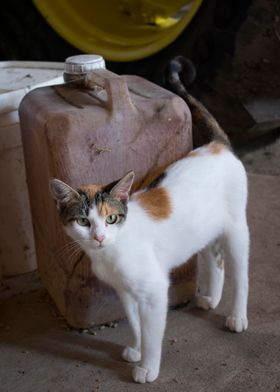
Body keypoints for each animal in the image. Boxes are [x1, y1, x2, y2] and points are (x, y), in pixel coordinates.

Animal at [49, 56, 248, 384]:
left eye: (111, 218)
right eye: (83, 222)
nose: (99, 237)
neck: (112, 250)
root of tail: (215, 145)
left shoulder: (154, 291)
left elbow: (153, 332)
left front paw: (147, 366)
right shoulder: (125, 292)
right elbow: (135, 323)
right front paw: (136, 348)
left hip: (237, 230)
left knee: (241, 275)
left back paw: (237, 316)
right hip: (204, 230)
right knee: (215, 257)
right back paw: (211, 297)